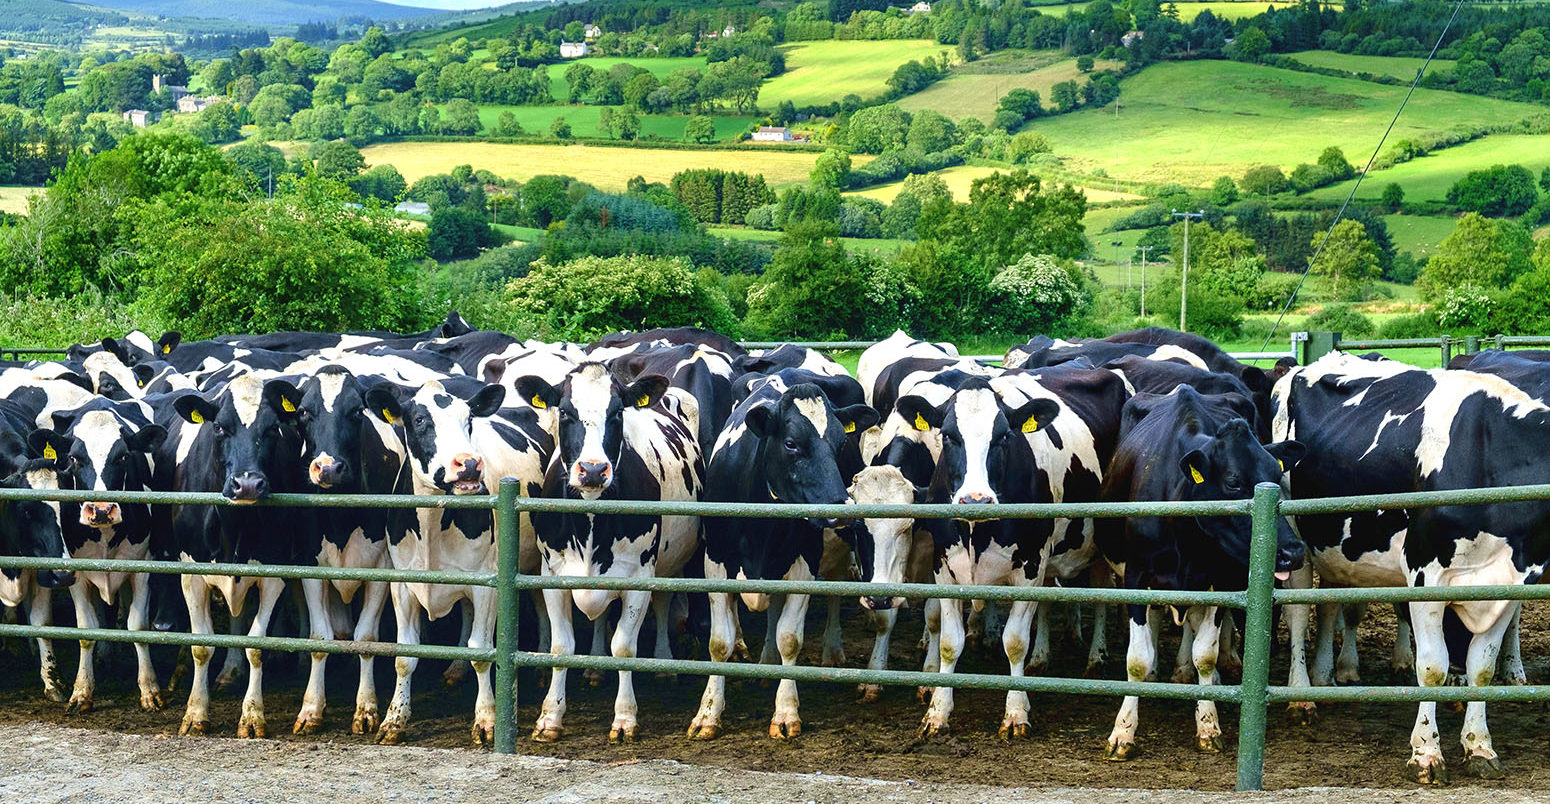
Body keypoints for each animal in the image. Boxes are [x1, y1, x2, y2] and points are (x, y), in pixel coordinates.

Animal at [47, 399, 167, 715]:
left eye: (123, 456)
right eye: (74, 458)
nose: (101, 509)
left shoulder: (143, 565)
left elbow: (138, 626)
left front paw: (149, 689)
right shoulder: (76, 573)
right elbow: (86, 628)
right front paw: (81, 691)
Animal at [520, 364, 703, 743]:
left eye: (617, 412)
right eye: (565, 412)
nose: (592, 470)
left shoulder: (640, 576)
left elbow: (624, 647)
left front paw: (625, 718)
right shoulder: (553, 574)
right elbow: (562, 646)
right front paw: (550, 717)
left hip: (668, 563)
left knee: (663, 605)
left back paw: (663, 662)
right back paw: (594, 668)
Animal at [688, 381, 880, 740]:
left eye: (840, 443)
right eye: (791, 443)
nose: (841, 507)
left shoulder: (805, 566)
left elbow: (790, 638)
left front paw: (786, 712)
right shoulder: (715, 563)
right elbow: (719, 643)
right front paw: (708, 713)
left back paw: (830, 651)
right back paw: (766, 660)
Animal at [1097, 387, 1302, 765]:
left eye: (1276, 474)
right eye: (1233, 481)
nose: (1293, 552)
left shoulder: (1218, 580)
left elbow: (1204, 654)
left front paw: (1208, 724)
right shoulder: (1135, 576)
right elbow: (1137, 659)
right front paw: (1123, 731)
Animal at [1271, 353, 1550, 780]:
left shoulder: (1505, 582)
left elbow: (1482, 668)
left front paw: (1480, 747)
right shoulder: (1425, 573)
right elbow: (1432, 667)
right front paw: (1427, 752)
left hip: (1334, 549)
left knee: (1330, 604)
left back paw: (1326, 677)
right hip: (1295, 538)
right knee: (1299, 613)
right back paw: (1302, 696)